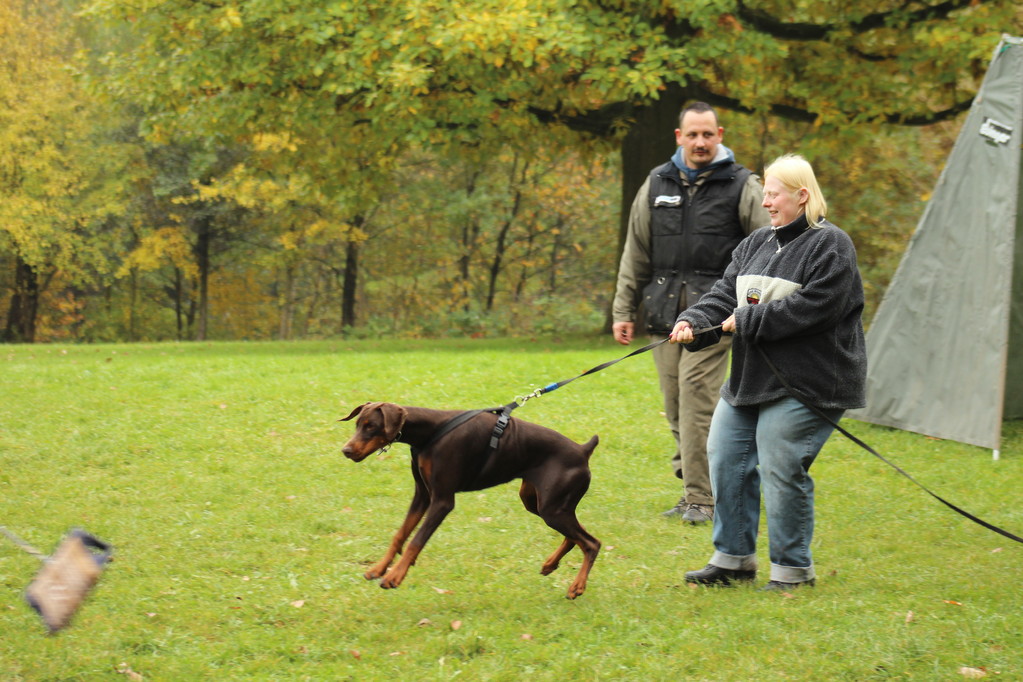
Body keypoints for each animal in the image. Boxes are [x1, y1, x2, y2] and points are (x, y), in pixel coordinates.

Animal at [341, 402, 597, 601]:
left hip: (551, 509)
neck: (430, 432)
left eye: (371, 426)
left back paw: (577, 586)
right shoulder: (422, 496)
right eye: (357, 424)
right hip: (537, 502)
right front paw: (378, 568)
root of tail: (583, 450)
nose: (345, 450)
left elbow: (416, 541)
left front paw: (394, 576)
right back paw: (550, 564)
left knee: (591, 543)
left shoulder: (442, 501)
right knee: (578, 535)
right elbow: (400, 535)